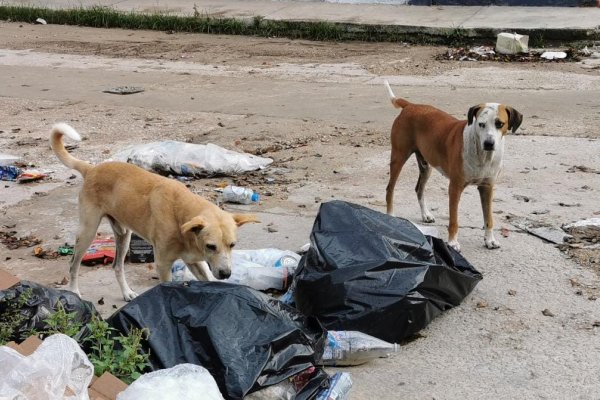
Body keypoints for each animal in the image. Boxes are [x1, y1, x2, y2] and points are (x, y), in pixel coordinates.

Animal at [51, 123, 258, 302]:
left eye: (232, 245)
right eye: (211, 246)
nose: (226, 274)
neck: (181, 215)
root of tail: (92, 168)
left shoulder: (194, 262)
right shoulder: (163, 265)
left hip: (123, 235)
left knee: (117, 266)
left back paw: (126, 292)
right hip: (88, 231)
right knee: (73, 264)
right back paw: (74, 292)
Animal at [384, 81, 520, 250]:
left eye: (499, 124)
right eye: (481, 124)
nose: (489, 143)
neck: (482, 156)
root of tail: (411, 105)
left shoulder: (487, 187)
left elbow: (488, 217)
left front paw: (490, 240)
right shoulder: (455, 188)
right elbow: (454, 219)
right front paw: (453, 242)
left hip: (426, 165)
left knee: (419, 189)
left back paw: (425, 214)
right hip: (399, 157)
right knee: (390, 188)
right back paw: (390, 216)